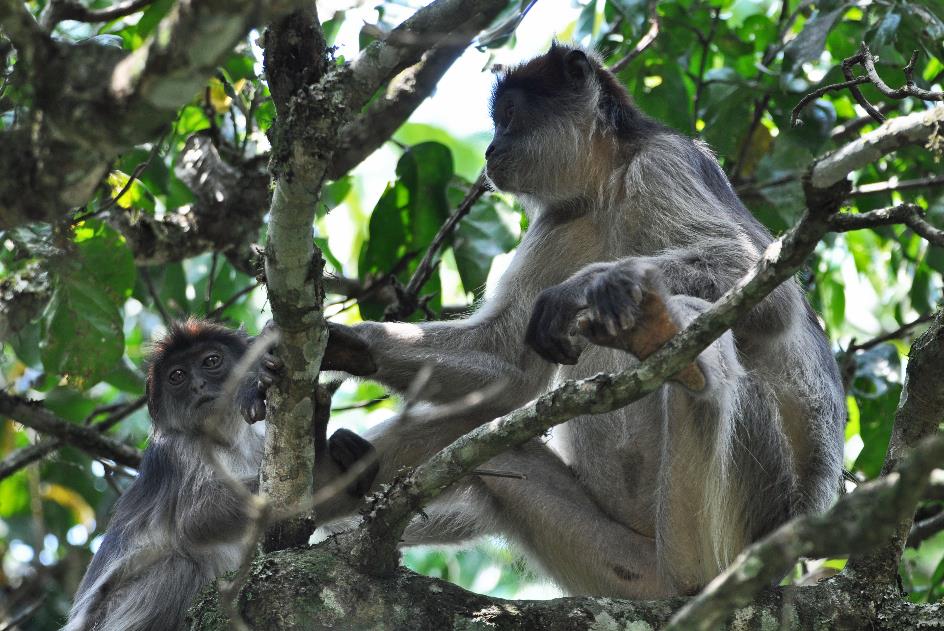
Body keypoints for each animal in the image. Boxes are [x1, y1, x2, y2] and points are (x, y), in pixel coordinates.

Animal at [314, 44, 844, 596]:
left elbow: (772, 295)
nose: (491, 150)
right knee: (490, 440)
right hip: (614, 563)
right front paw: (343, 343)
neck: (609, 188)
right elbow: (509, 370)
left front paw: (589, 287)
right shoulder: (563, 218)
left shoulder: (663, 163)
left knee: (699, 320)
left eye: (509, 116)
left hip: (749, 516)